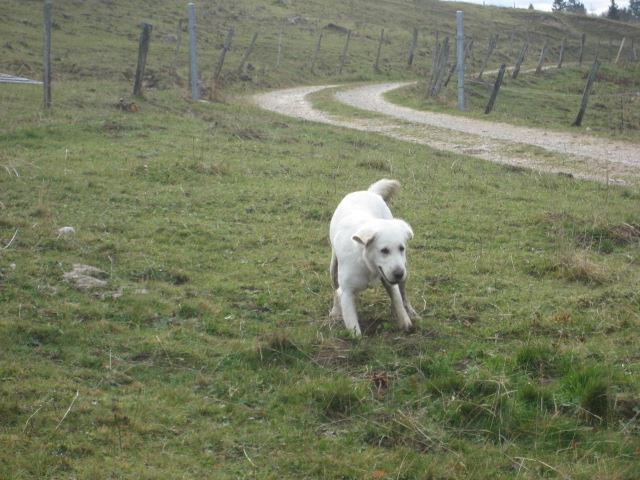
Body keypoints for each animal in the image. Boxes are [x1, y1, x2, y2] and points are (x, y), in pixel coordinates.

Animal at [329, 179, 419, 336]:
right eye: (384, 250)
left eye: (401, 248)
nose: (398, 273)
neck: (367, 264)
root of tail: (368, 192)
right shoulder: (347, 292)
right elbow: (354, 327)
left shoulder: (391, 282)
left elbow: (398, 301)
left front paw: (406, 322)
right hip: (333, 268)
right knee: (335, 289)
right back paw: (335, 311)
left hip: (405, 270)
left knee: (403, 294)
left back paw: (410, 311)